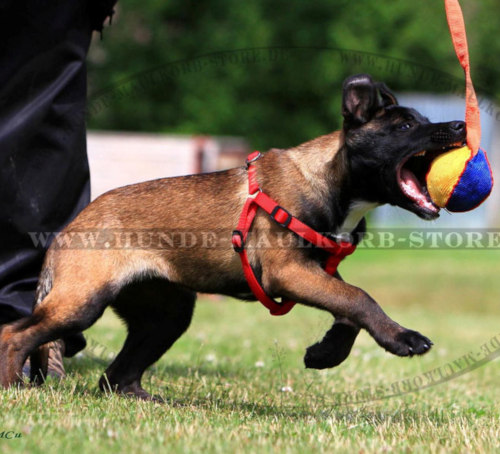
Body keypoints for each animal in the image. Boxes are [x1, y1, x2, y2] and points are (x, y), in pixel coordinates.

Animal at [0, 74, 468, 400]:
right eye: (405, 125)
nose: (461, 125)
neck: (330, 178)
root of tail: (70, 228)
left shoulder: (316, 272)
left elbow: (348, 307)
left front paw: (325, 353)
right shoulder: (288, 272)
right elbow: (358, 298)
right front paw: (402, 338)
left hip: (165, 315)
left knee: (115, 377)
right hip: (83, 301)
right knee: (15, 335)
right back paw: (13, 388)